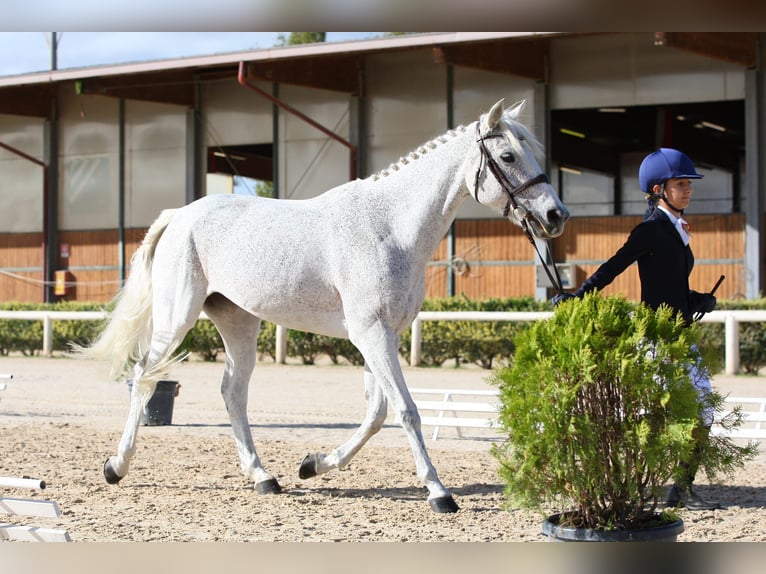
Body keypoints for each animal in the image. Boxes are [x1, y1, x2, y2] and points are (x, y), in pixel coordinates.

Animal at [78, 98, 568, 512]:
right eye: (508, 157)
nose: (556, 216)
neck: (388, 226)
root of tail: (180, 215)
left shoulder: (380, 335)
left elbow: (377, 414)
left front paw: (313, 465)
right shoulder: (371, 333)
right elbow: (406, 410)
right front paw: (438, 492)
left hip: (238, 323)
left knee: (232, 392)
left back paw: (263, 477)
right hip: (176, 316)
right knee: (144, 377)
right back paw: (116, 467)